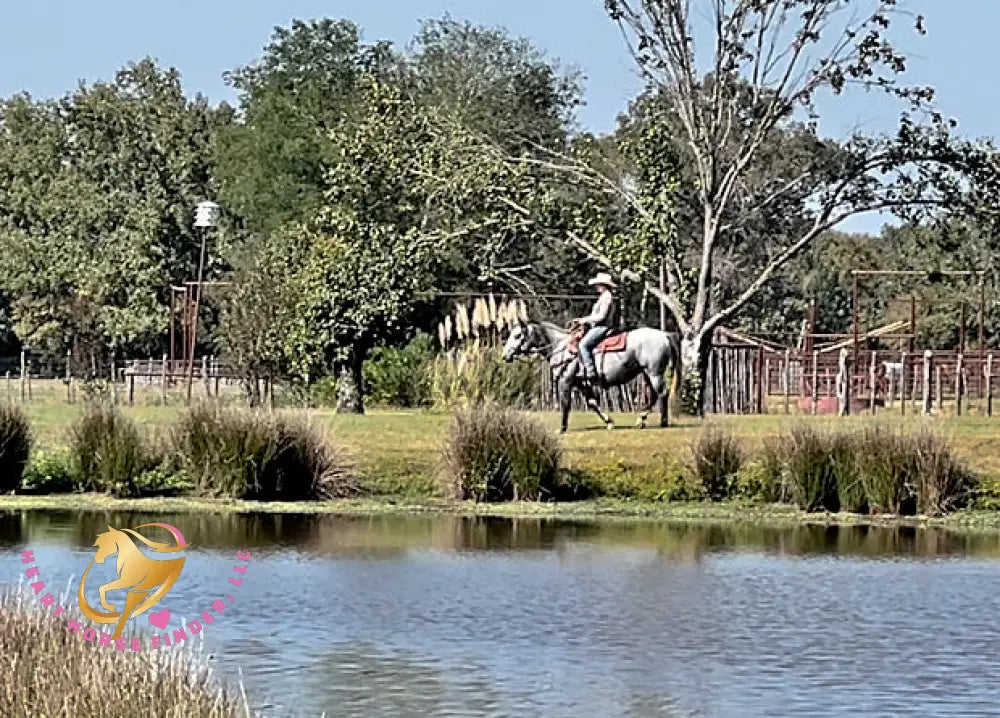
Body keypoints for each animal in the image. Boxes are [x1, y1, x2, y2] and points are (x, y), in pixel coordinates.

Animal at [500, 320, 680, 434]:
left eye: (517, 335)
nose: (505, 356)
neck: (561, 348)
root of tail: (664, 335)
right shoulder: (582, 384)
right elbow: (593, 403)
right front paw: (609, 422)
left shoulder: (565, 381)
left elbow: (565, 404)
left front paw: (562, 429)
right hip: (646, 373)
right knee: (654, 395)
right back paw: (641, 420)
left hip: (654, 372)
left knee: (662, 393)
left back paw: (661, 422)